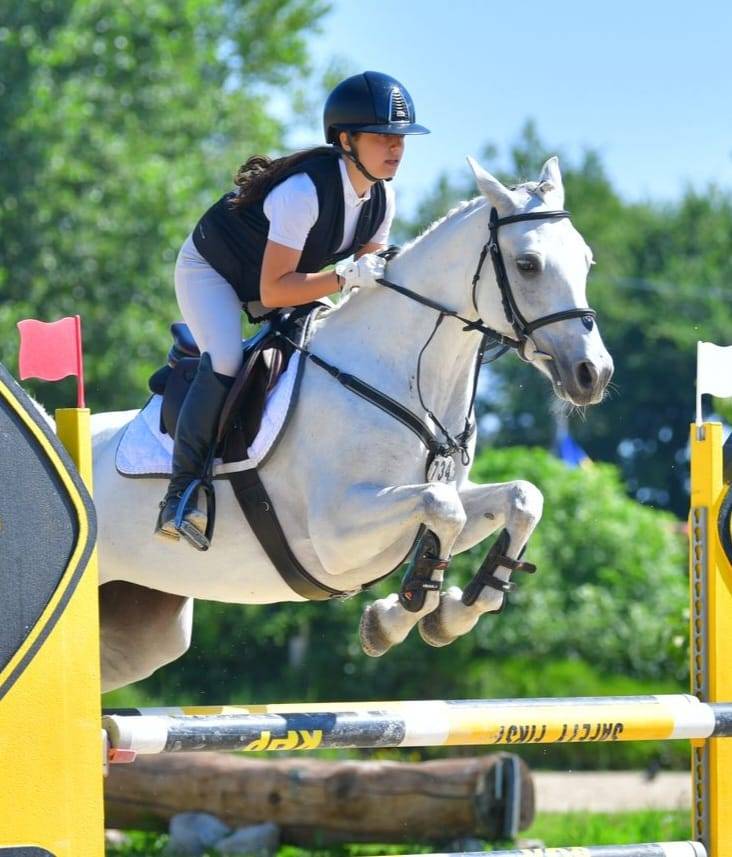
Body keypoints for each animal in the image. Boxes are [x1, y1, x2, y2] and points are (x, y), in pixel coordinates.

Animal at [91, 155, 613, 691]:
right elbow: (443, 507)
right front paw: (395, 617)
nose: (593, 374)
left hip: (143, 630)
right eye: (528, 264)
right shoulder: (336, 535)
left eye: (587, 261)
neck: (406, 373)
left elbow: (521, 498)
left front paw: (447, 614)